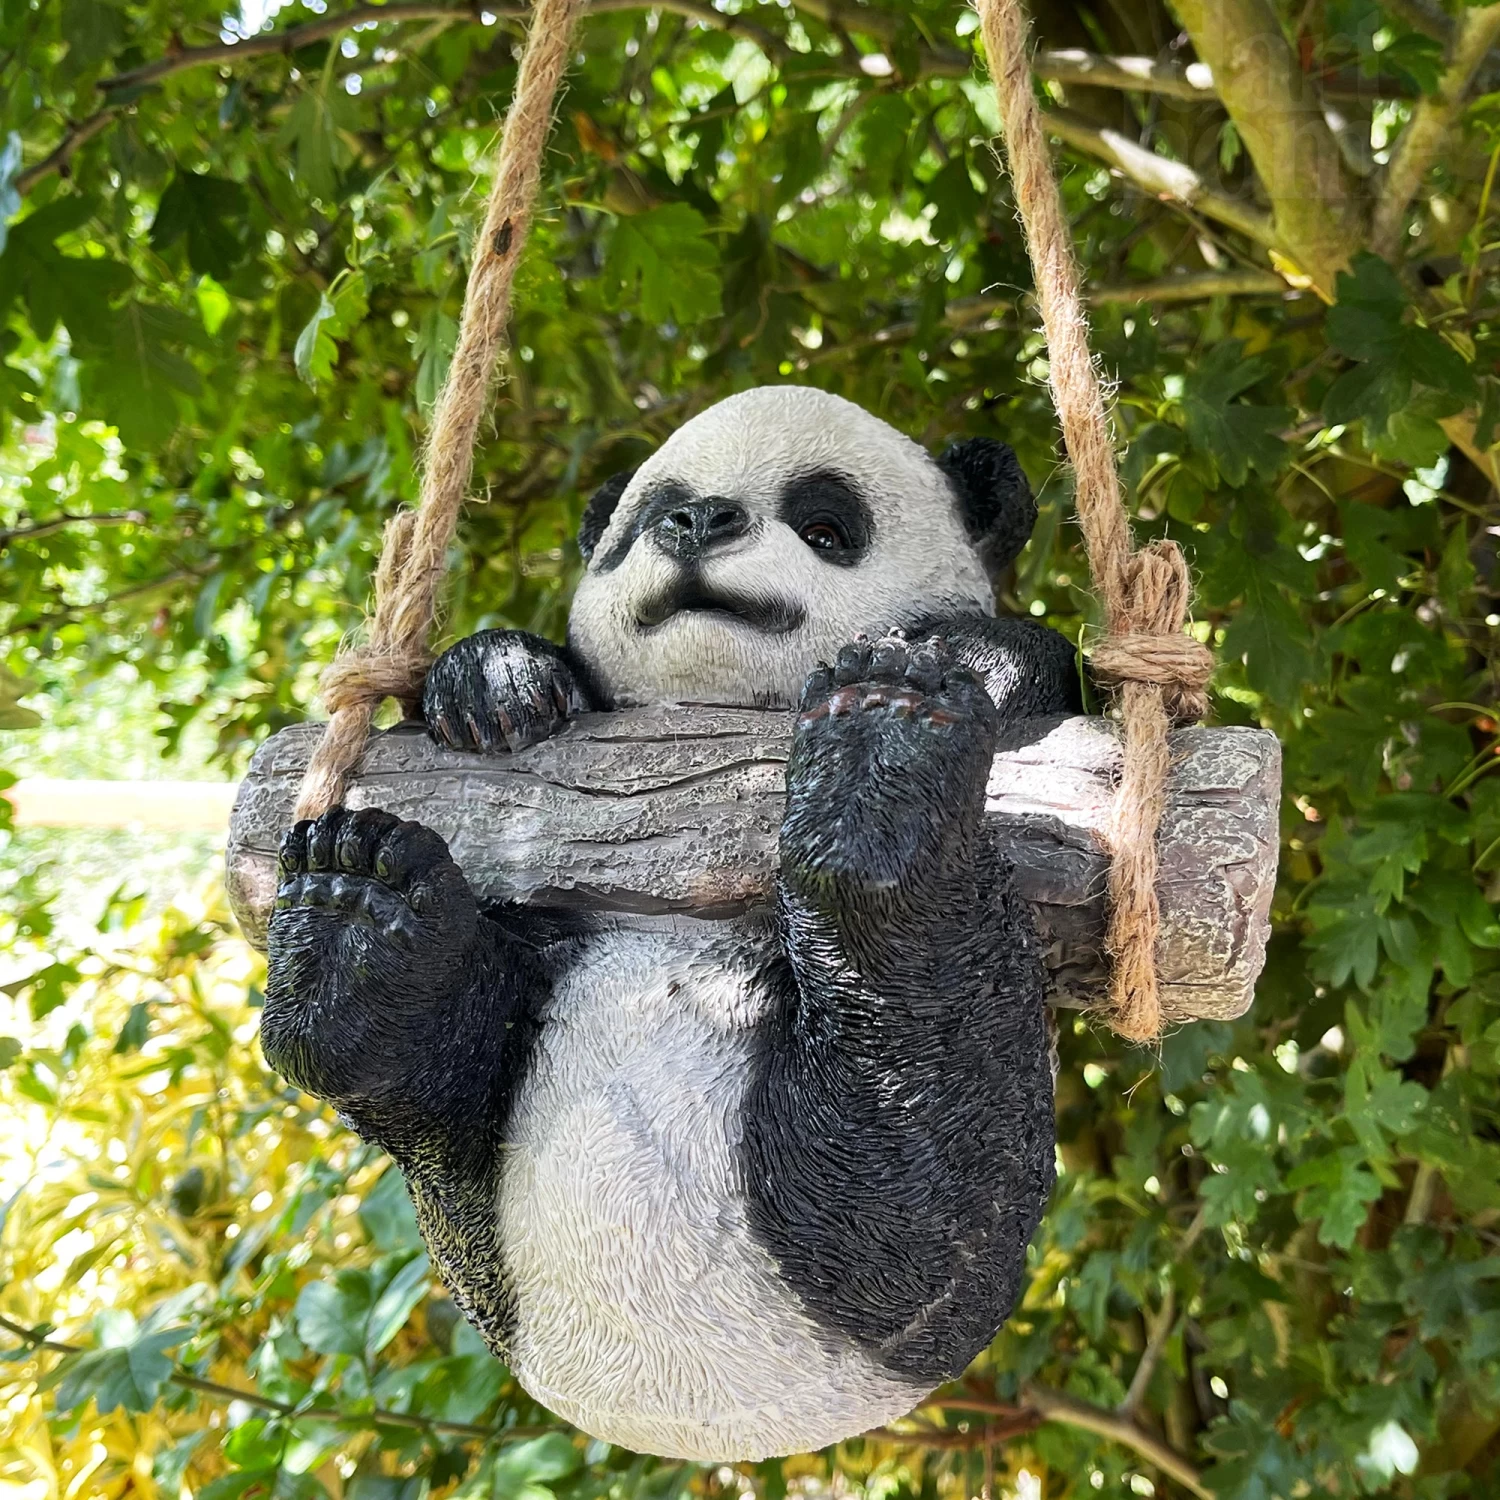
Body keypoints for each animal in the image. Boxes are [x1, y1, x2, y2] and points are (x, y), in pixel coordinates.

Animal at [261, 385, 1082, 1462]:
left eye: (828, 525)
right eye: (646, 516)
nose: (696, 523)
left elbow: (1031, 663)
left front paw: (941, 665)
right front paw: (497, 685)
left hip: (911, 1246)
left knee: (925, 1117)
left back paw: (880, 781)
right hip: (486, 1207)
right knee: (447, 1078)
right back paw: (353, 932)